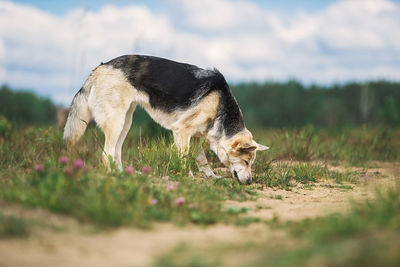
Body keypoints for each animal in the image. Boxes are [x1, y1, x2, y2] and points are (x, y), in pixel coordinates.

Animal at [63, 54, 268, 184]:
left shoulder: (195, 137)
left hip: (125, 124)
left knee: (115, 153)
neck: (220, 105)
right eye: (247, 162)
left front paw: (212, 177)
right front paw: (188, 177)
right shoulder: (182, 132)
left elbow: (203, 161)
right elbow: (184, 159)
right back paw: (115, 177)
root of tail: (100, 67)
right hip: (116, 123)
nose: (250, 182)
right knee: (106, 155)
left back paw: (125, 174)